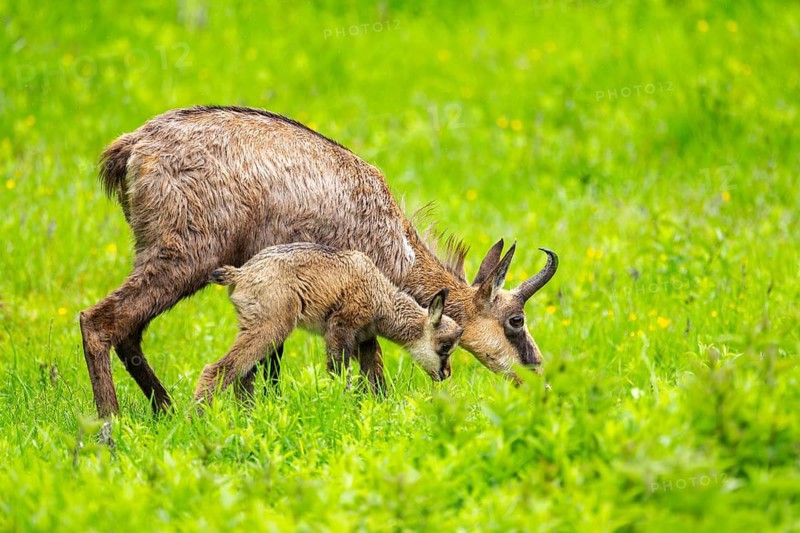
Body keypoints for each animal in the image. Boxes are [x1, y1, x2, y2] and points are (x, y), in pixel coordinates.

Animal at [194, 243, 462, 405]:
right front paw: (341, 402)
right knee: (218, 370)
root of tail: (241, 274)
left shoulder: (364, 338)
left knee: (242, 375)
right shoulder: (339, 329)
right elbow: (339, 372)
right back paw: (196, 417)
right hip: (270, 328)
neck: (380, 296)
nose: (446, 374)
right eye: (445, 346)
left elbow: (372, 375)